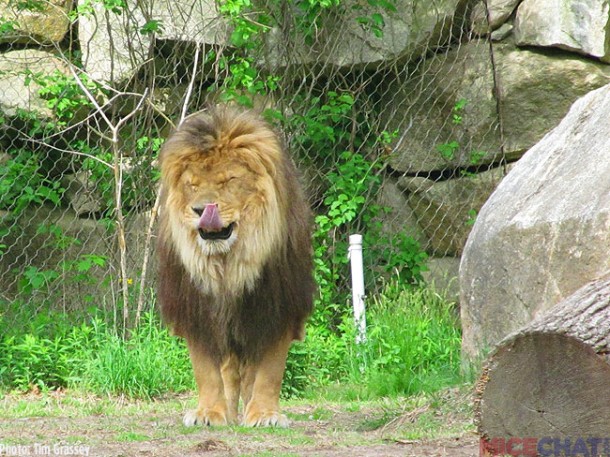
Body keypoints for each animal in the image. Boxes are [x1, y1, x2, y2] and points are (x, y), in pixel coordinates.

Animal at [154, 105, 316, 426]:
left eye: (227, 181)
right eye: (192, 185)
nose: (201, 209)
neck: (228, 265)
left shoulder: (277, 308)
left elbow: (269, 371)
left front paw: (265, 415)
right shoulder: (198, 311)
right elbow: (206, 371)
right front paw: (208, 413)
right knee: (229, 369)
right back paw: (228, 412)